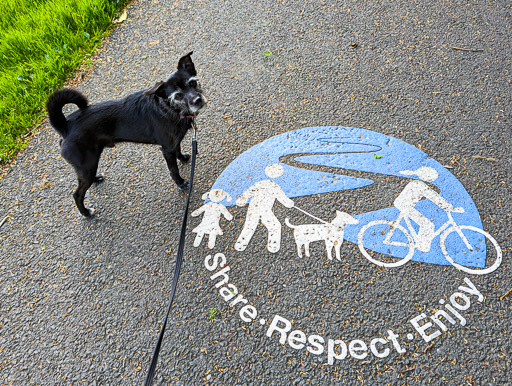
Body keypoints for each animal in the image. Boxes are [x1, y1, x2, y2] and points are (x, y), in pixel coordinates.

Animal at [46, 52, 205, 217]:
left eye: (193, 83)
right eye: (178, 96)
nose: (198, 100)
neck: (169, 108)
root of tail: (65, 126)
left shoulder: (174, 142)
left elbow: (178, 149)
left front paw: (183, 158)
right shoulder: (167, 149)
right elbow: (173, 170)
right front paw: (181, 183)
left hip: (88, 165)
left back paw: (96, 179)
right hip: (86, 165)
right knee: (77, 194)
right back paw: (86, 212)